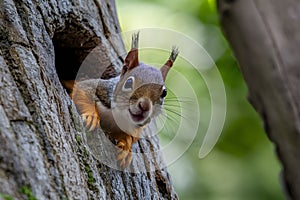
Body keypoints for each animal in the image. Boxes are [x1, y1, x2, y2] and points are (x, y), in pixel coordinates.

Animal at [67, 33, 178, 167]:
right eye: (129, 82)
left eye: (164, 93)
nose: (144, 106)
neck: (120, 116)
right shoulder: (98, 88)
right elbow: (82, 90)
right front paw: (91, 116)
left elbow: (131, 137)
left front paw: (125, 147)